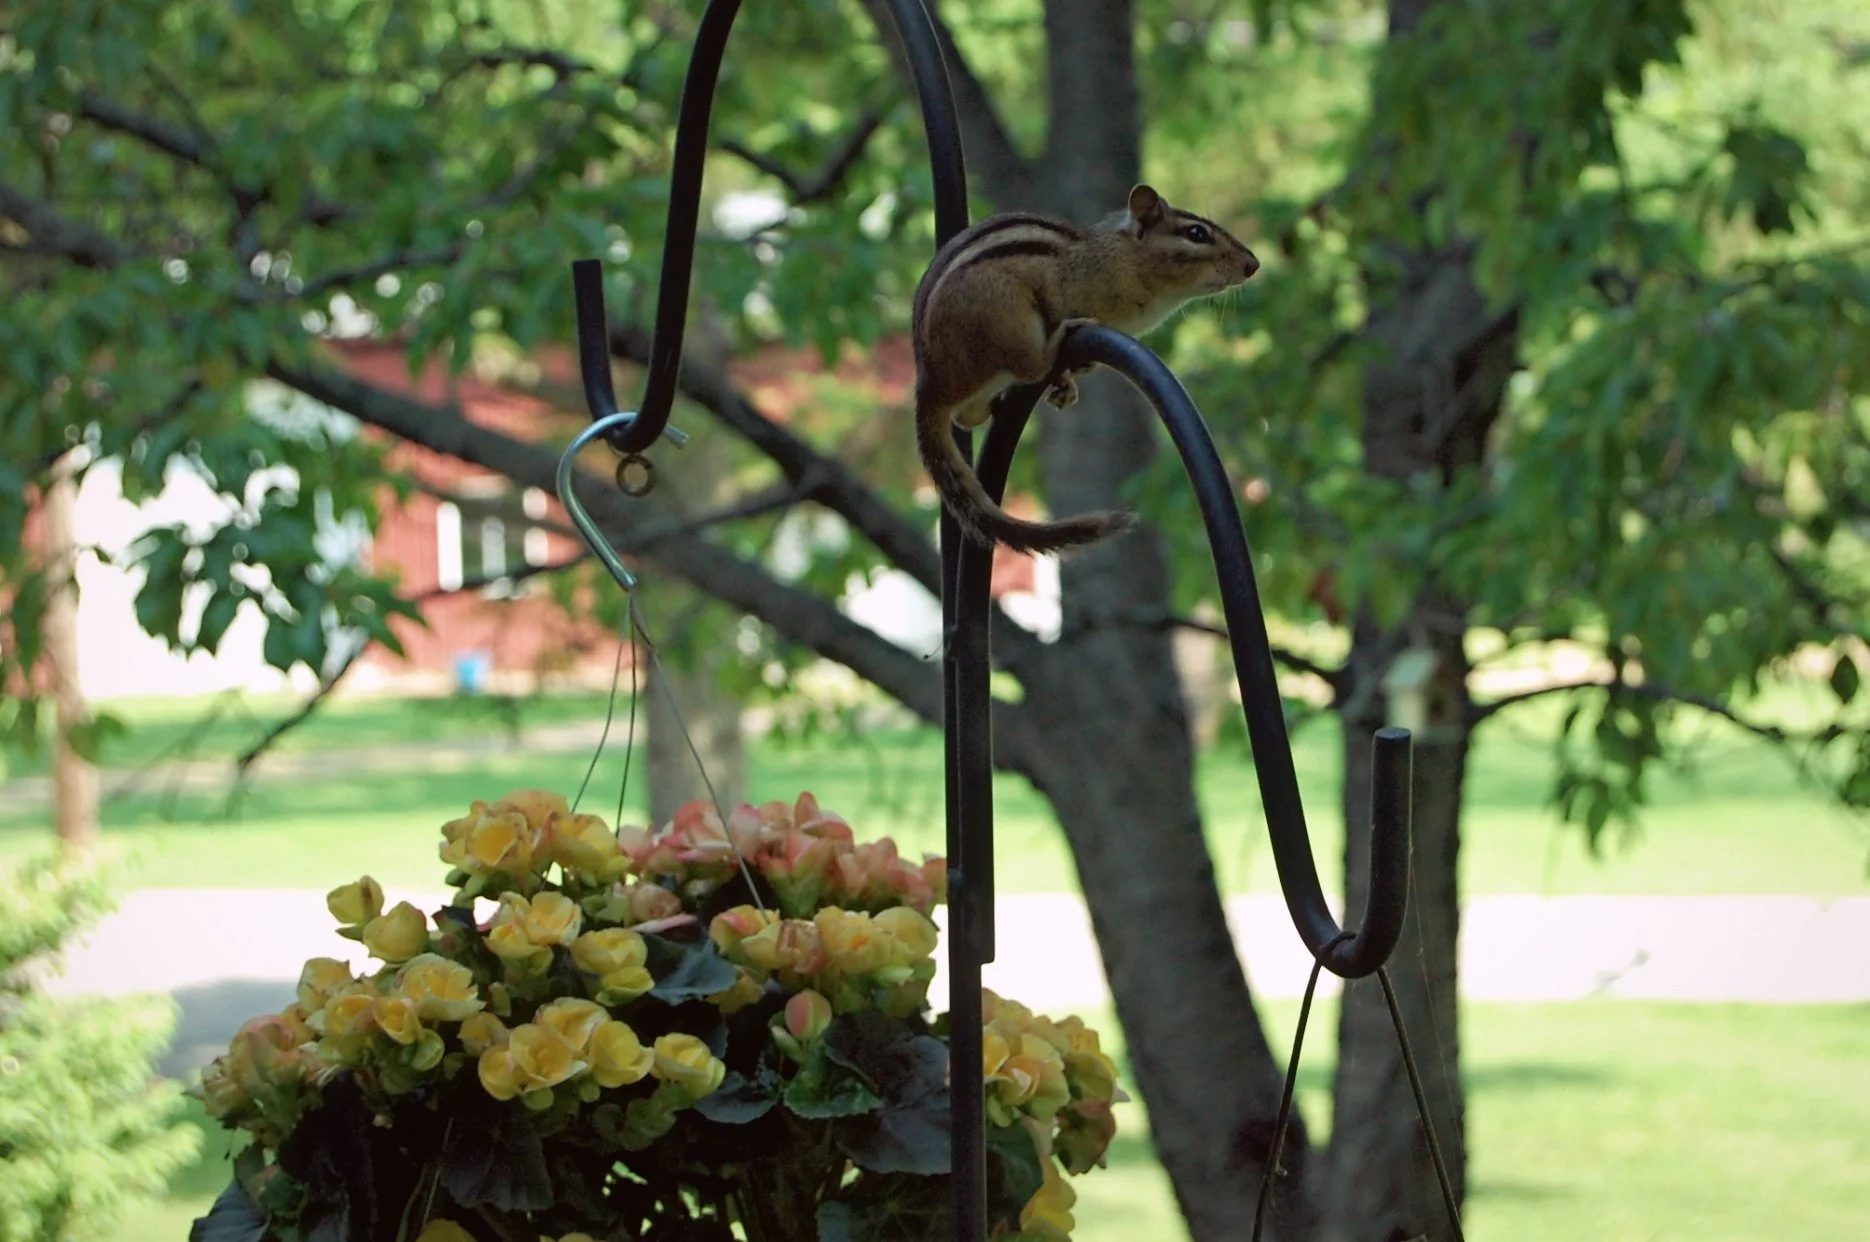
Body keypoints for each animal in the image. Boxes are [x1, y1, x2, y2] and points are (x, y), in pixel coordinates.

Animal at [911, 183, 1260, 554]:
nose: (1253, 264)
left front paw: (1069, 379)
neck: (1125, 258)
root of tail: (931, 382)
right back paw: (1061, 337)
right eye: (1196, 233)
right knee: (1030, 366)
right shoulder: (1062, 289)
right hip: (1009, 318)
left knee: (968, 416)